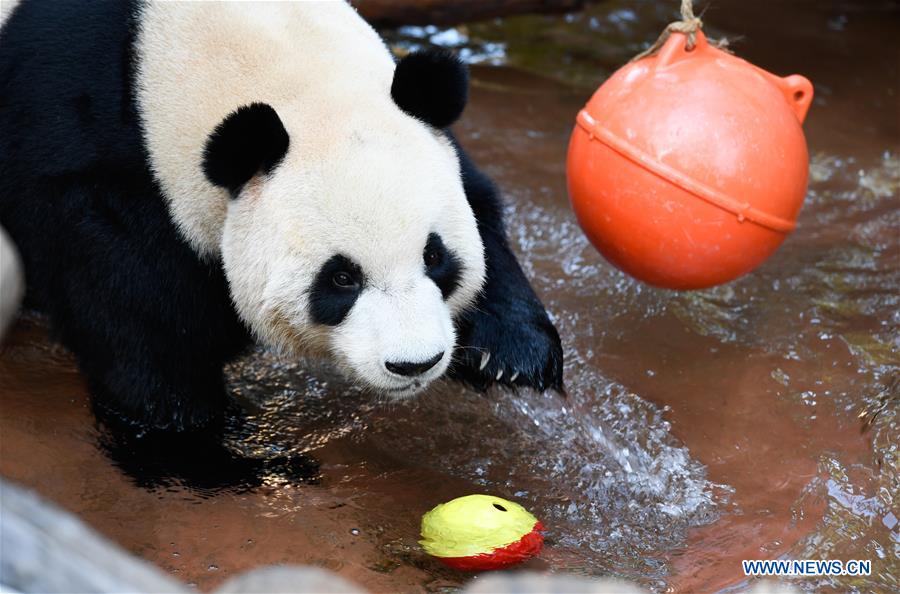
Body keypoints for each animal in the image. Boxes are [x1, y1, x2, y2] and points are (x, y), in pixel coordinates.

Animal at [0, 2, 564, 448]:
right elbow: (142, 326)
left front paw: (511, 353)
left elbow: (479, 199)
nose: (414, 363)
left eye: (434, 256)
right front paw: (207, 444)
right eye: (341, 278)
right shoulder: (97, 170)